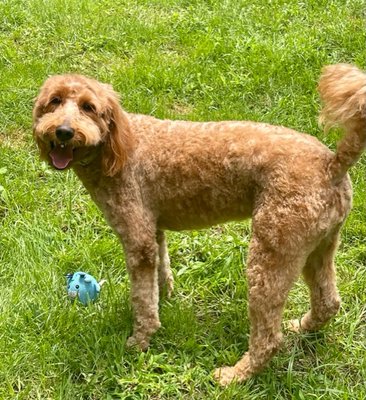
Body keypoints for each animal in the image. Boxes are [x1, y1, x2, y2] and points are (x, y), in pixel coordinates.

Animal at [33, 63, 364, 384]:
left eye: (89, 107)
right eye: (54, 101)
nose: (63, 132)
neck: (115, 148)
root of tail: (331, 165)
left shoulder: (137, 240)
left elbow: (141, 298)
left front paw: (140, 340)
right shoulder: (153, 229)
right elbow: (162, 269)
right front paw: (165, 297)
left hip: (272, 253)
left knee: (269, 337)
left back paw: (236, 375)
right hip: (318, 246)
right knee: (328, 303)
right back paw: (302, 326)